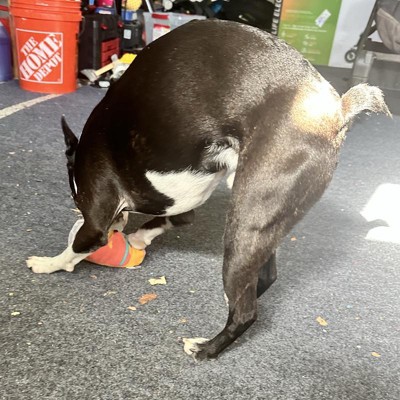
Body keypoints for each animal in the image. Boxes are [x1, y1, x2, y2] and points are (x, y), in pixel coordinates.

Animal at [27, 20, 390, 360]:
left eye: (75, 195)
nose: (120, 225)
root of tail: (338, 111)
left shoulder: (95, 220)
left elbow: (75, 247)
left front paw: (46, 263)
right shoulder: (181, 203)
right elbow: (169, 219)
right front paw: (139, 238)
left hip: (246, 223)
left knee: (246, 312)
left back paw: (206, 348)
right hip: (265, 223)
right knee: (264, 277)